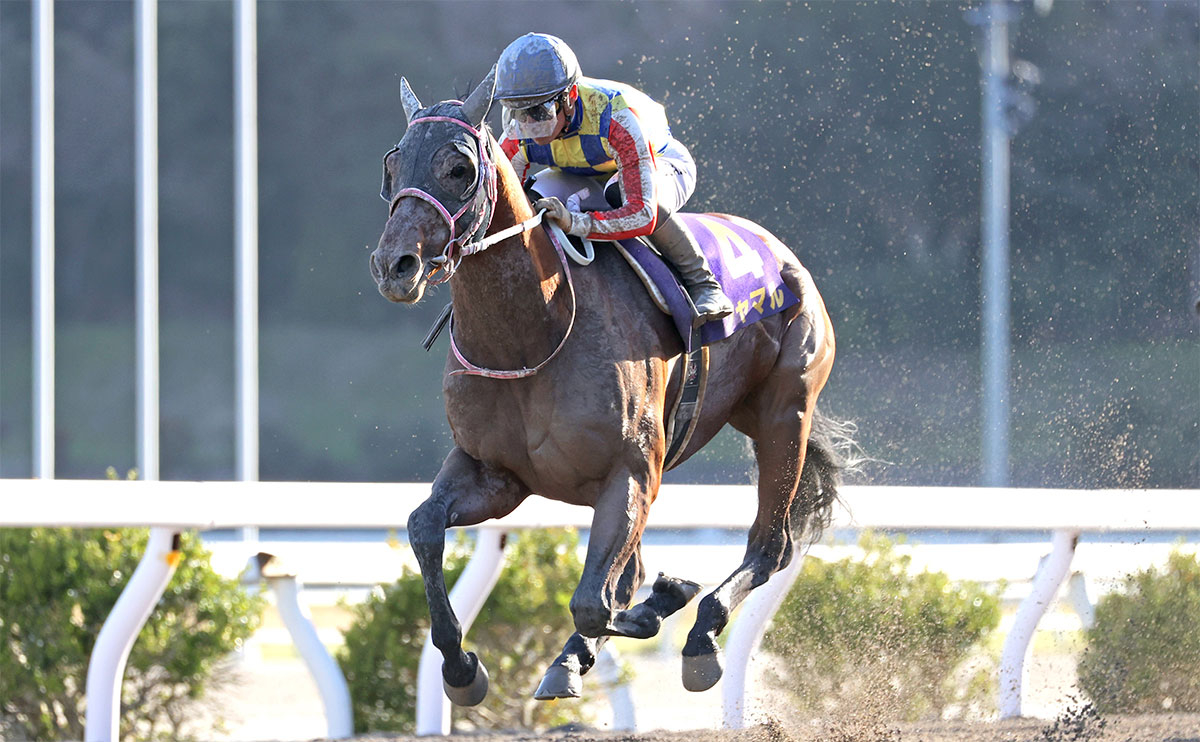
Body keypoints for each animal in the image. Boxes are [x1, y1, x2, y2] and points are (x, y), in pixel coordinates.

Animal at [369, 67, 849, 705]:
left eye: (460, 168)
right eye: (393, 165)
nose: (393, 265)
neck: (532, 335)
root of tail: (777, 250)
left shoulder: (632, 472)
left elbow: (598, 602)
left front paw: (665, 600)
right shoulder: (494, 473)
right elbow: (424, 529)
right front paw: (462, 668)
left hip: (783, 413)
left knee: (770, 546)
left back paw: (700, 637)